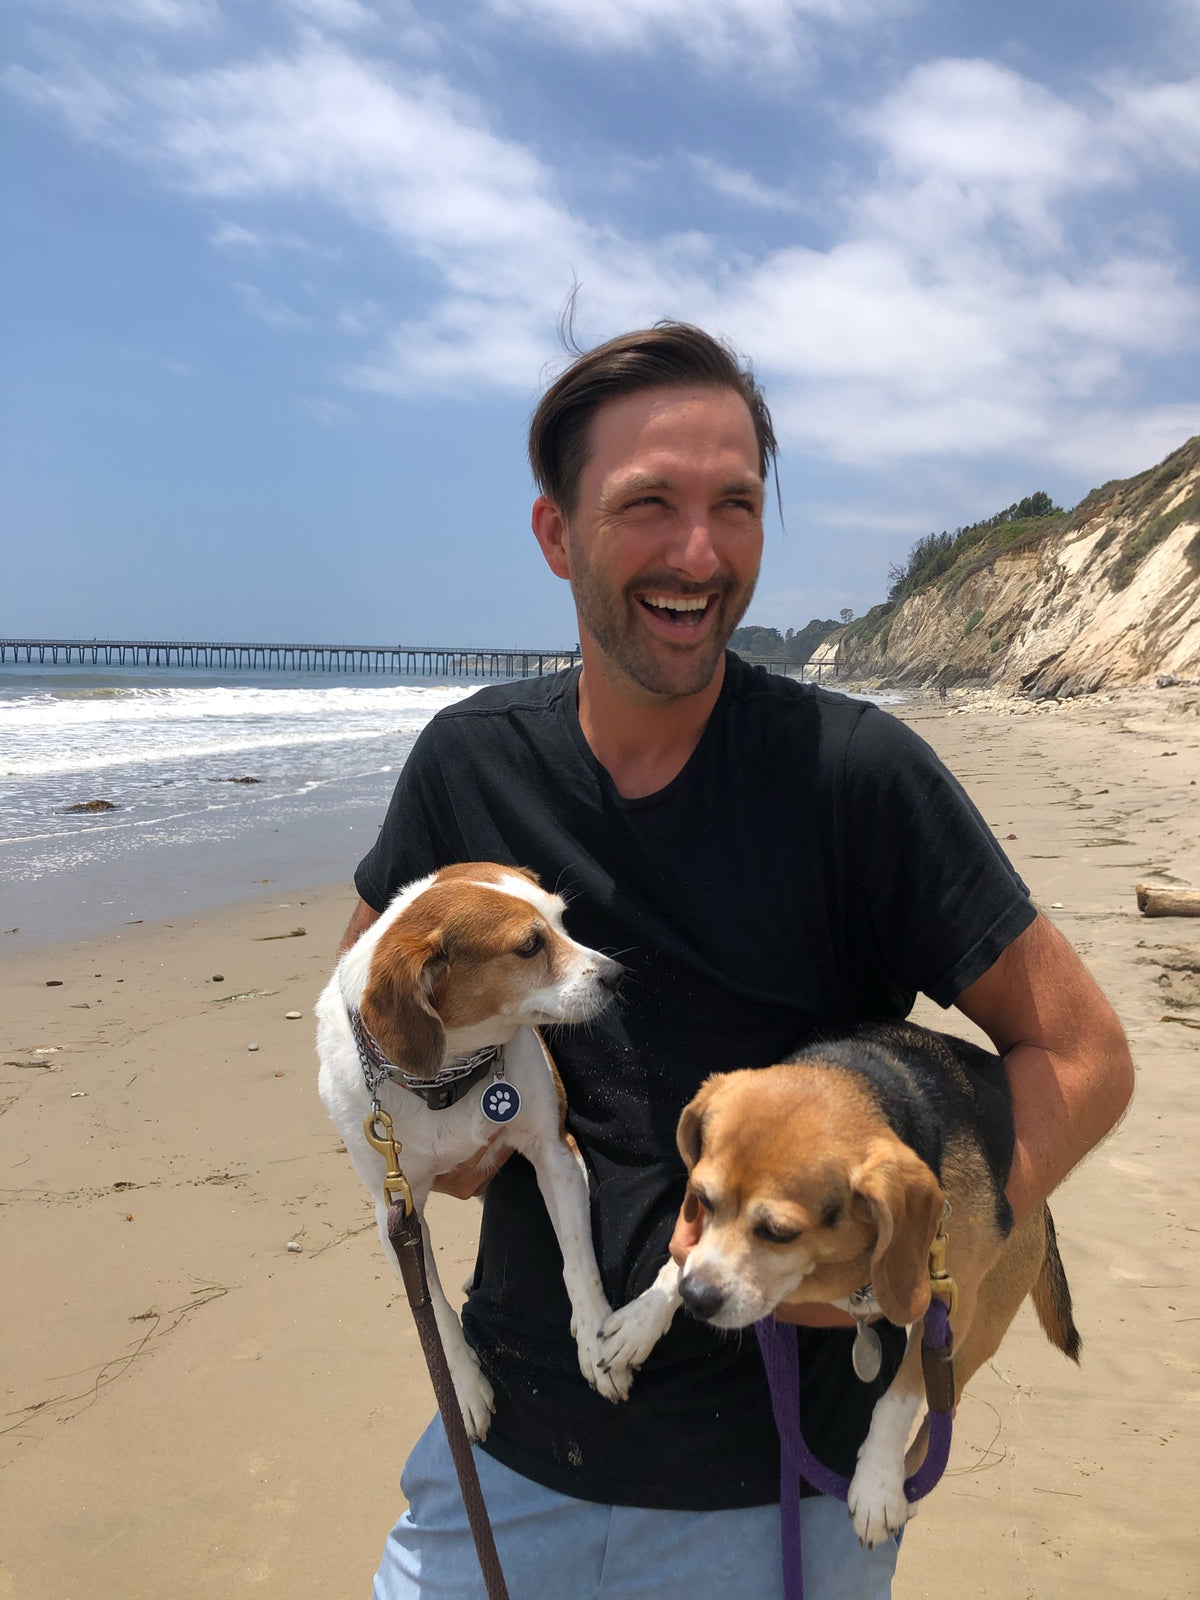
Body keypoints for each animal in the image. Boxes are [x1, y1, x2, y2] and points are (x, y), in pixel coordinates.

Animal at [320, 870, 640, 1446]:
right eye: (529, 946)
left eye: (562, 919)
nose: (616, 974)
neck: (449, 1076)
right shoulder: (396, 1214)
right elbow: (438, 1316)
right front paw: (464, 1390)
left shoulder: (555, 1154)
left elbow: (578, 1262)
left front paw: (596, 1342)